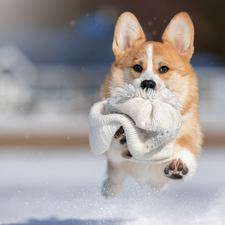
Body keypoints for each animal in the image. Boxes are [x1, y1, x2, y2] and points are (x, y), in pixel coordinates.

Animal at [99, 11, 201, 197]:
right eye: (137, 67)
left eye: (164, 69)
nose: (148, 83)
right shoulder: (115, 154)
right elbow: (115, 149)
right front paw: (124, 135)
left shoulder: (188, 134)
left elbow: (185, 151)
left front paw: (177, 166)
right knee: (114, 180)